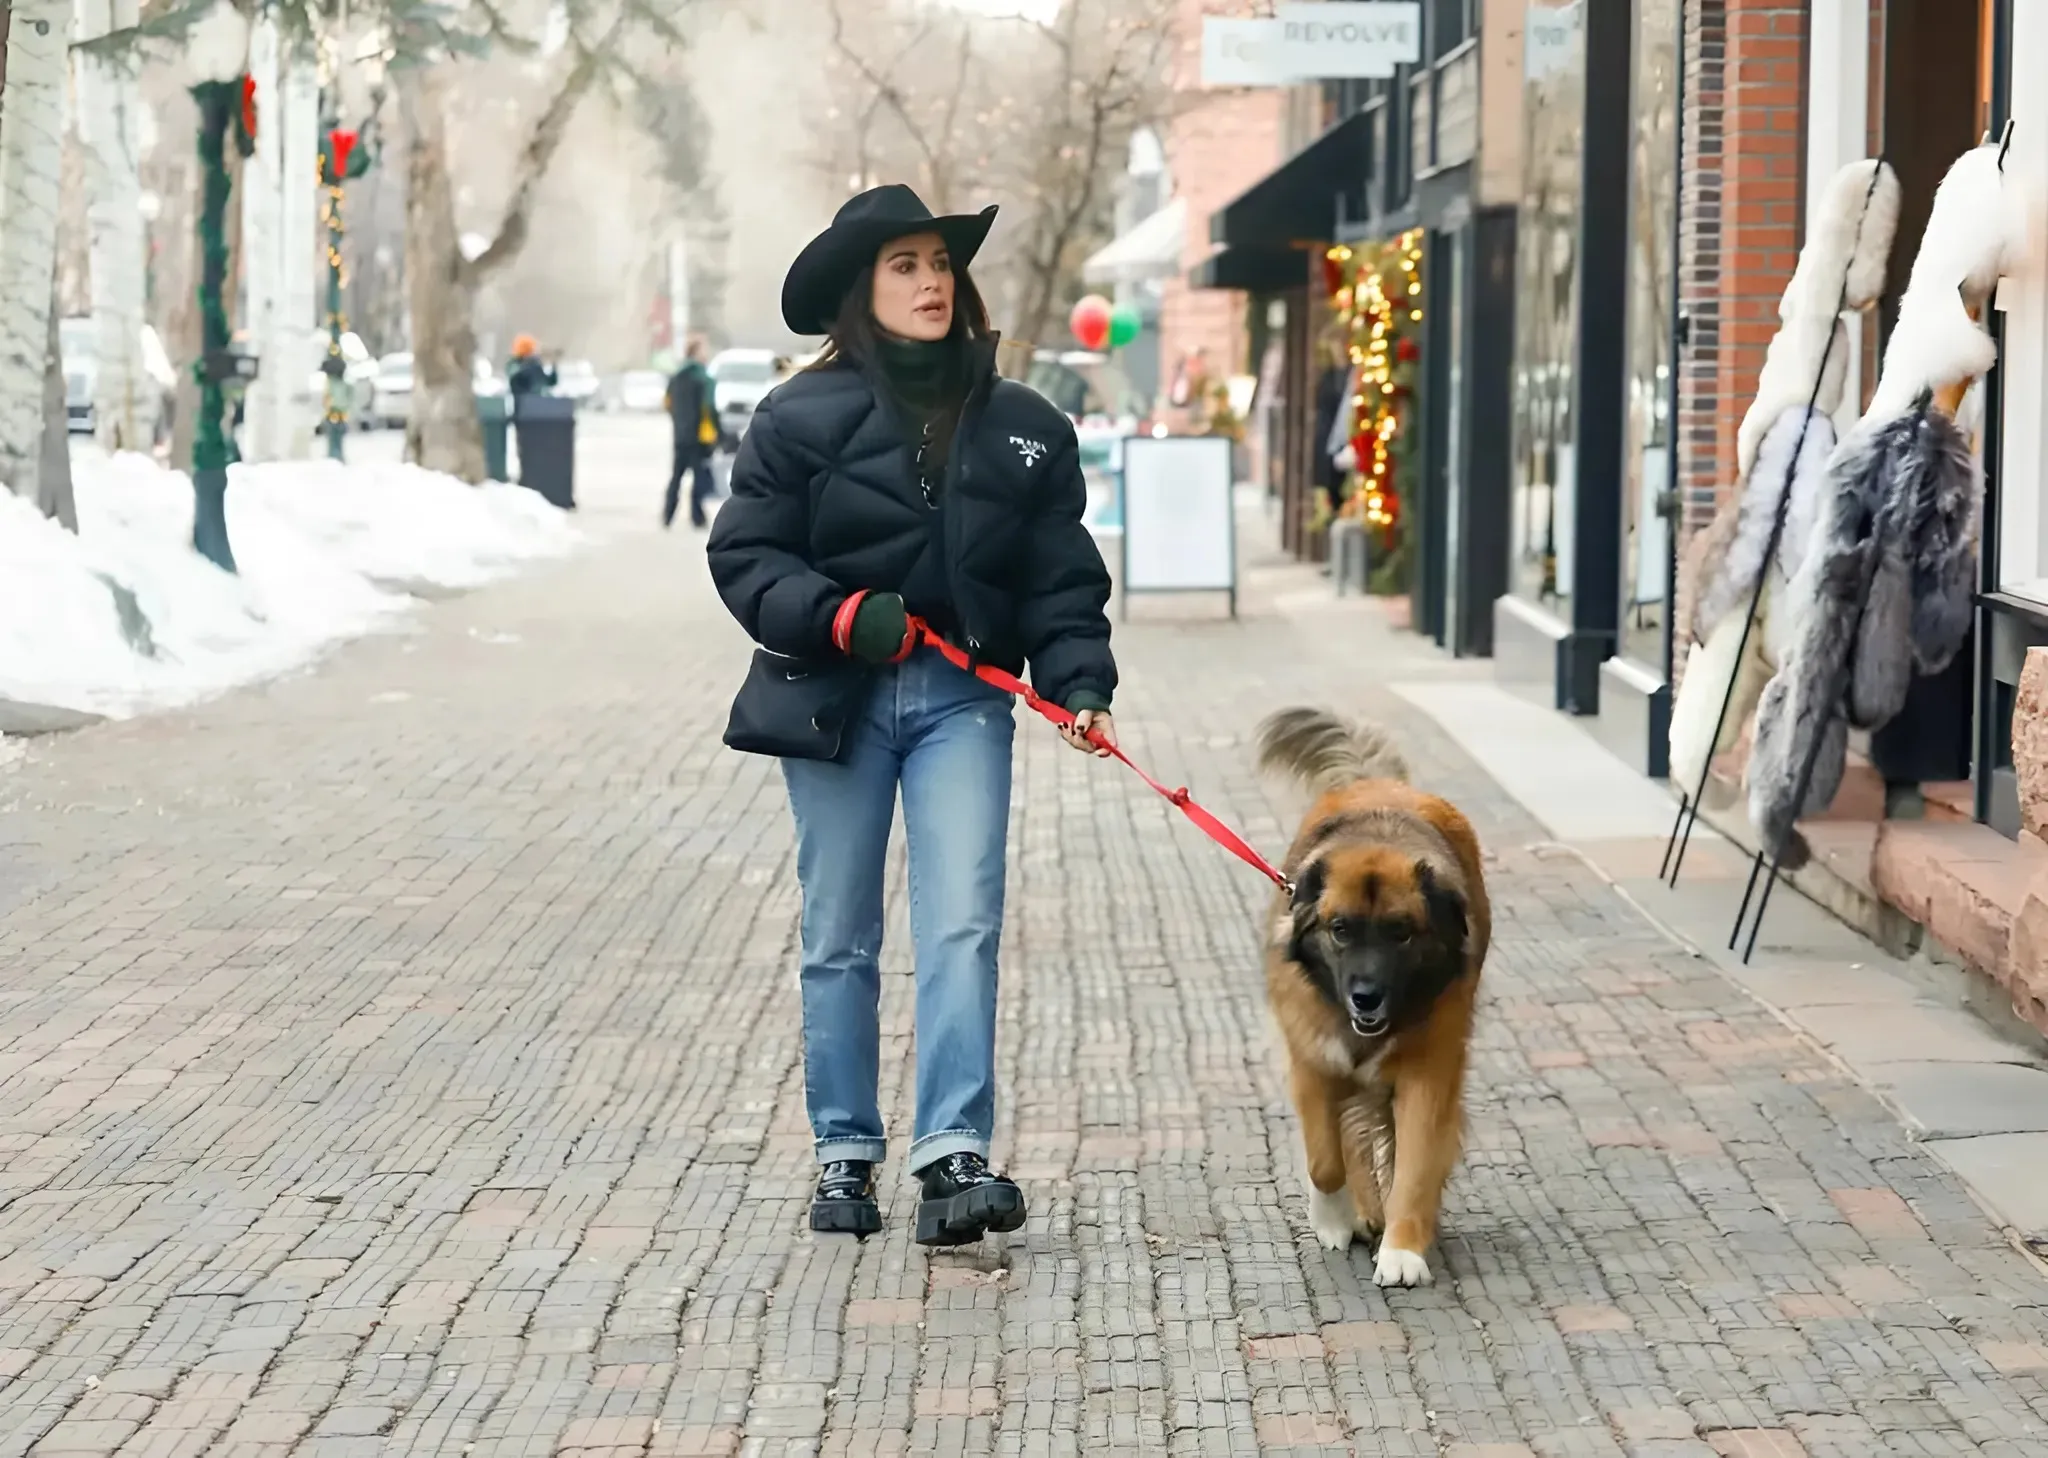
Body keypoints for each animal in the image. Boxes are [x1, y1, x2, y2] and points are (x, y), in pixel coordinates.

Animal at [1245, 704, 1490, 1285]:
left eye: (1401, 932)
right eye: (1340, 929)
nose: (1366, 998)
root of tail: (1375, 782)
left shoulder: (1428, 1072)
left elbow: (1415, 1165)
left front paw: (1403, 1250)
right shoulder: (1313, 1062)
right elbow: (1323, 1158)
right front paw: (1334, 1218)